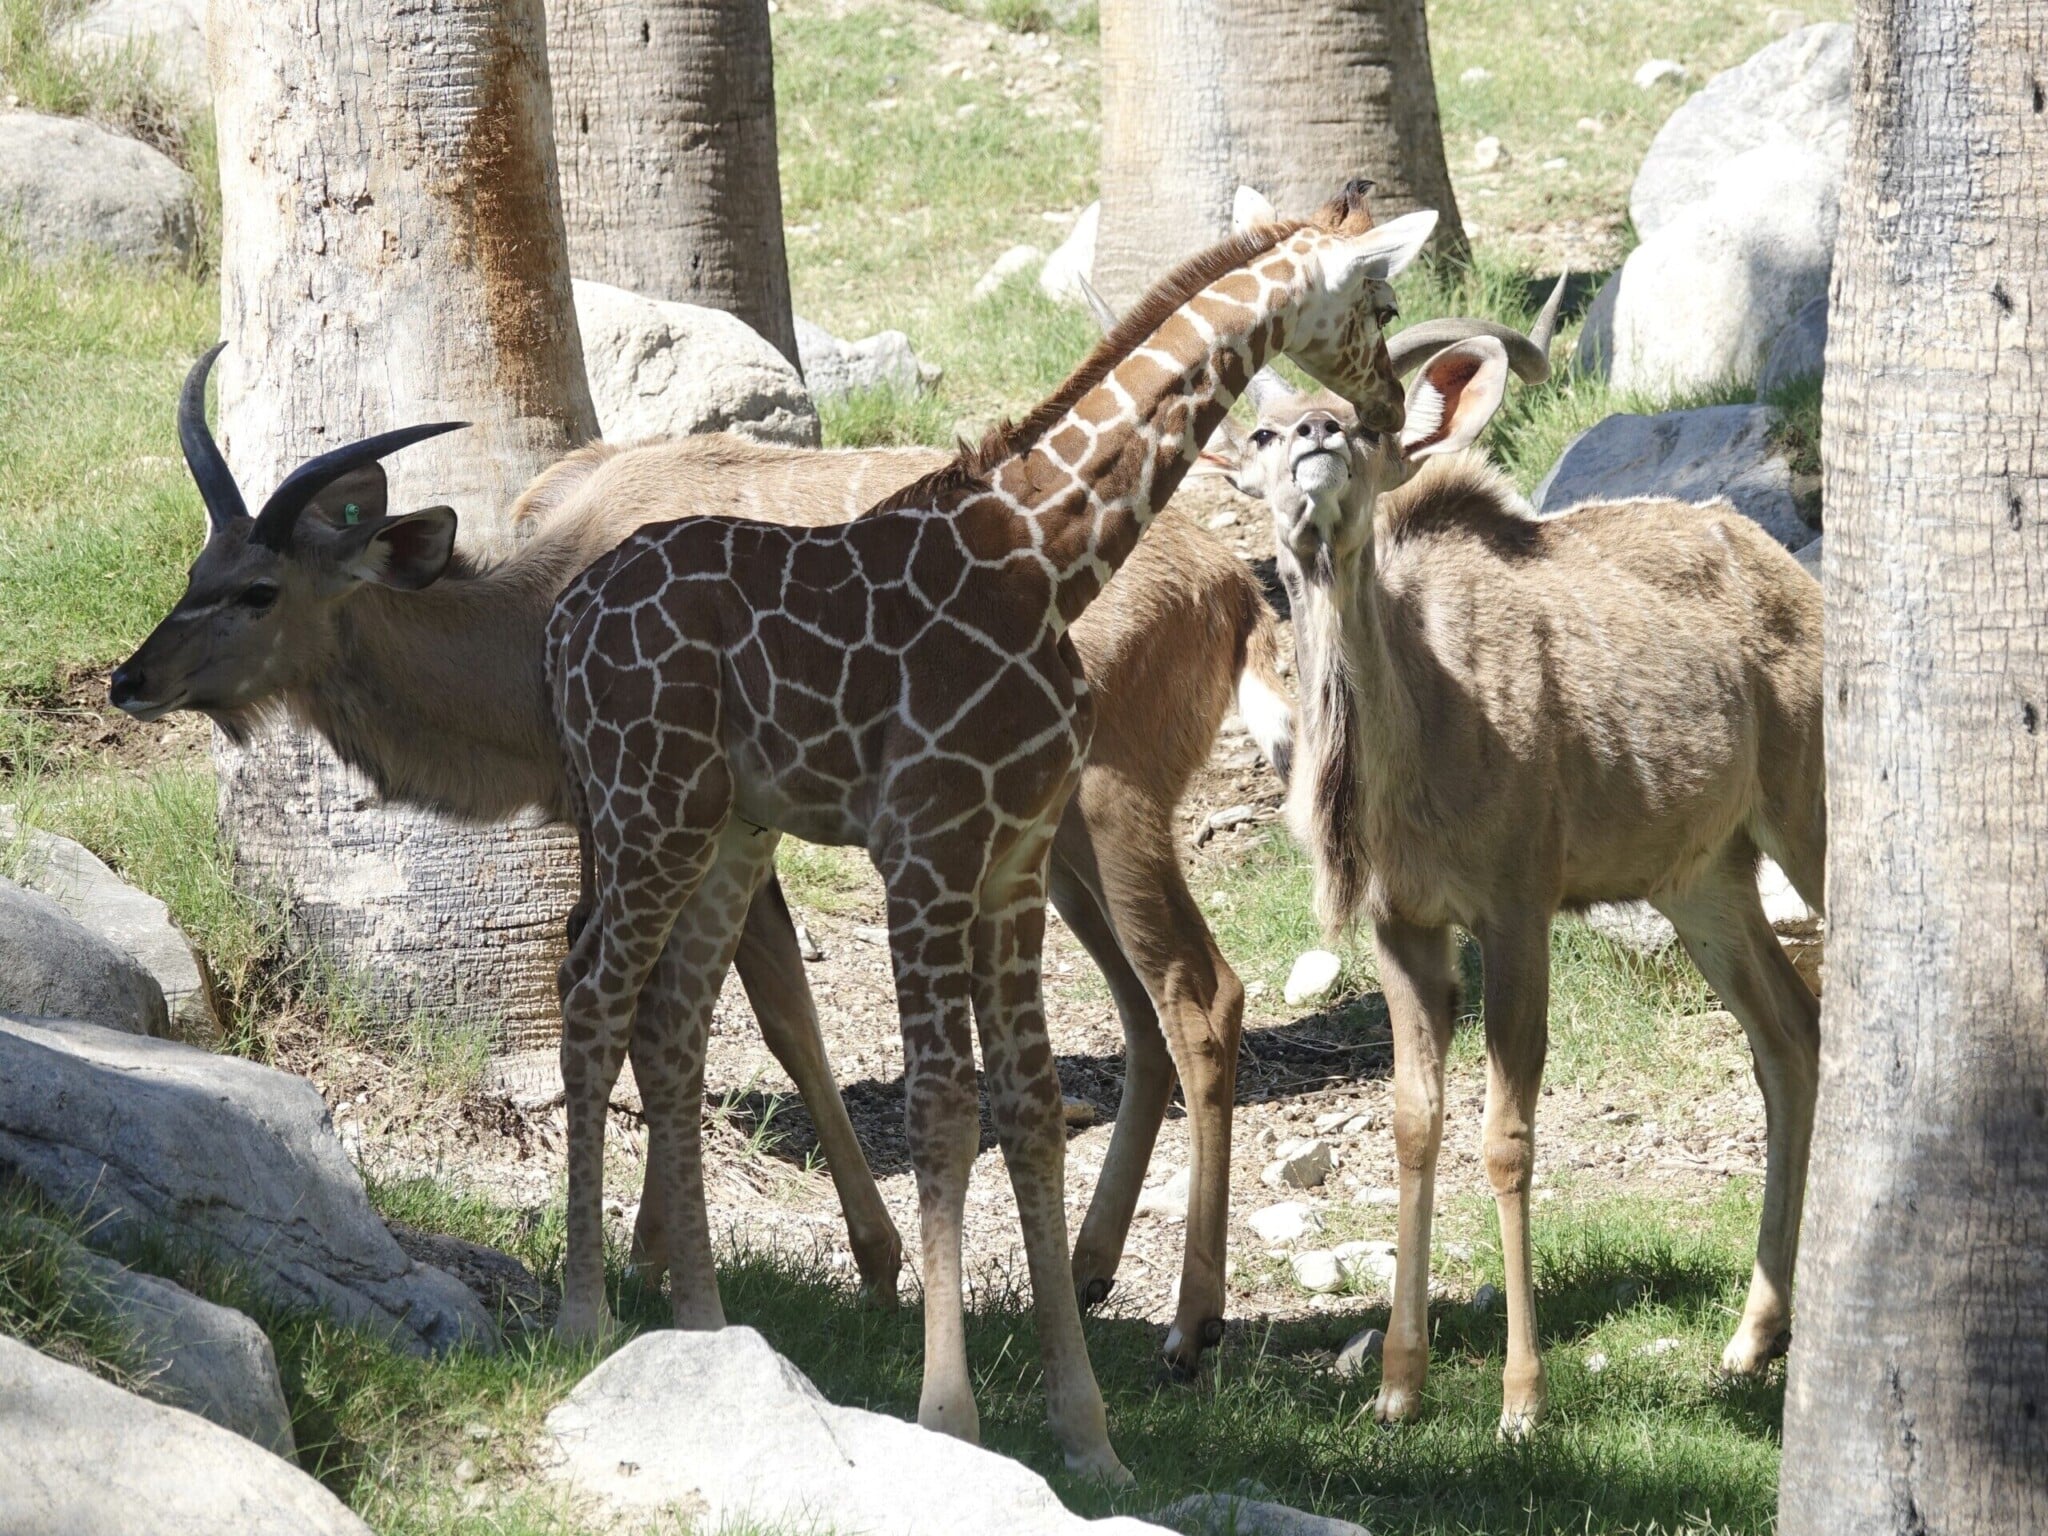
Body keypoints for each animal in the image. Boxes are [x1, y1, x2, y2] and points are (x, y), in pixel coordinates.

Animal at [544, 183, 1440, 1477]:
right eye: (1378, 299)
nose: (1380, 409)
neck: (1049, 553)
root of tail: (558, 629)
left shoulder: (1010, 852)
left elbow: (1024, 1108)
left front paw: (1086, 1435)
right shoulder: (923, 843)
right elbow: (938, 1106)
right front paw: (947, 1414)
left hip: (725, 829)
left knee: (669, 1020)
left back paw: (703, 1328)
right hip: (643, 805)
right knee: (592, 995)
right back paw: (580, 1314)